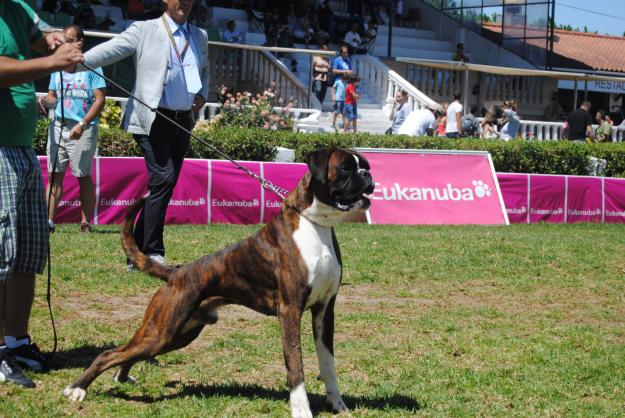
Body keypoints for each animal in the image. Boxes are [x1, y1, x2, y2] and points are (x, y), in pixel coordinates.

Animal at [63, 149, 372, 416]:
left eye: (364, 165)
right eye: (346, 168)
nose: (367, 175)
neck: (316, 225)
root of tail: (176, 273)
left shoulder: (324, 311)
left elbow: (328, 363)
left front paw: (338, 405)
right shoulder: (290, 310)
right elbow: (295, 365)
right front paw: (301, 410)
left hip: (176, 335)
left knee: (127, 353)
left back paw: (121, 376)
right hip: (162, 331)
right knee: (108, 353)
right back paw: (77, 389)